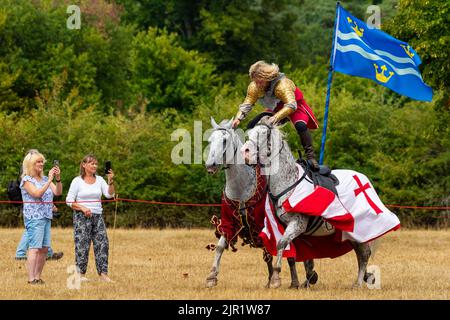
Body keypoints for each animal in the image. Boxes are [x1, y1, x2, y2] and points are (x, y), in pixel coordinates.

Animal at [206, 117, 304, 288]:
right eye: (210, 140)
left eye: (225, 141)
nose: (210, 165)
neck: (242, 188)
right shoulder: (229, 221)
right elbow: (220, 246)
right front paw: (212, 276)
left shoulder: (261, 225)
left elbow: (269, 253)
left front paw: (273, 279)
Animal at [241, 120, 382, 290]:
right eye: (249, 134)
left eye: (263, 134)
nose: (245, 153)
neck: (289, 182)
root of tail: (365, 182)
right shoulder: (287, 227)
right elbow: (293, 256)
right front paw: (298, 282)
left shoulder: (297, 224)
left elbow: (281, 244)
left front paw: (276, 277)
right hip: (349, 233)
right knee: (360, 253)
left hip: (360, 229)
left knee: (364, 253)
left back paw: (359, 283)